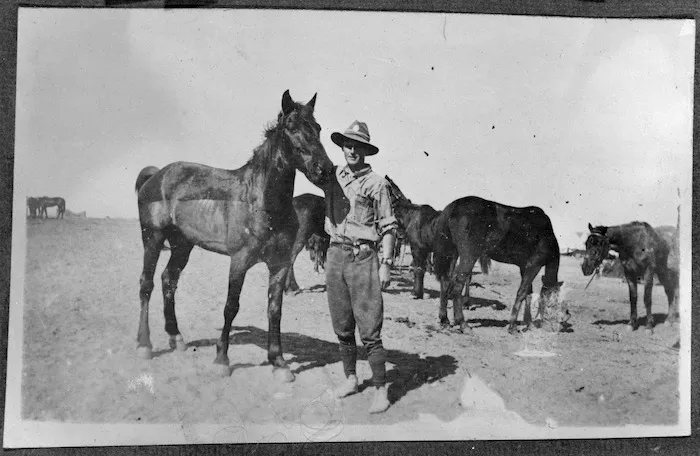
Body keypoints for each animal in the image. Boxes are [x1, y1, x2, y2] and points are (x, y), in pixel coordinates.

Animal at [134, 90, 333, 381]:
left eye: (318, 128)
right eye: (292, 128)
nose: (325, 169)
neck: (262, 201)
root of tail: (156, 175)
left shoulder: (280, 264)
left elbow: (275, 309)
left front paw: (279, 362)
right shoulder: (239, 261)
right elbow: (231, 306)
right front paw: (222, 360)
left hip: (182, 245)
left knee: (168, 280)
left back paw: (176, 337)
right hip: (153, 239)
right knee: (146, 284)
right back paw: (144, 345)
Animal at [385, 177, 562, 334]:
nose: (555, 325)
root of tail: (452, 207)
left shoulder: (524, 267)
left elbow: (528, 294)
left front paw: (528, 324)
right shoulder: (534, 265)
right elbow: (522, 293)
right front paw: (513, 326)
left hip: (452, 253)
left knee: (446, 282)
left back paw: (445, 319)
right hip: (468, 255)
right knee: (457, 285)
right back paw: (462, 323)